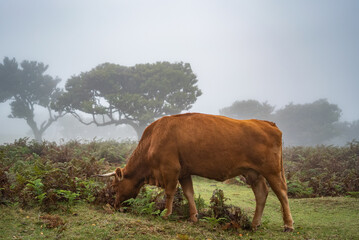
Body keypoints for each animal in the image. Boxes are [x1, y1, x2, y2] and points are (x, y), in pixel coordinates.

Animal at [97, 113, 294, 232]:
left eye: (115, 186)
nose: (115, 205)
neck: (153, 139)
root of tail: (266, 123)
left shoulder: (171, 169)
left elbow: (169, 193)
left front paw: (166, 214)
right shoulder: (184, 172)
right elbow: (188, 193)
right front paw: (193, 217)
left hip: (272, 171)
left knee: (282, 193)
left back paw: (288, 225)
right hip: (253, 173)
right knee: (261, 194)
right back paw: (254, 224)